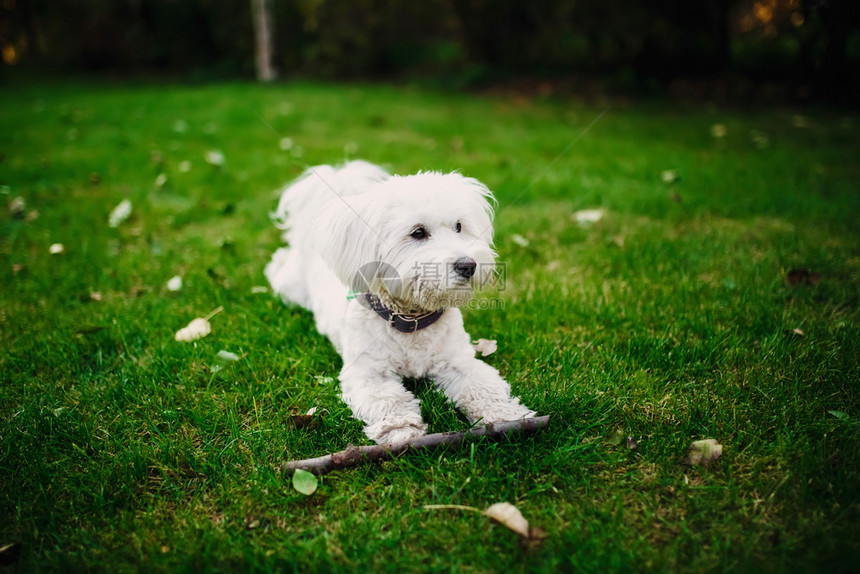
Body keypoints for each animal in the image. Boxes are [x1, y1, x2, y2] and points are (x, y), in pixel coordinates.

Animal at [266, 162, 536, 446]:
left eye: (459, 226)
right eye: (418, 232)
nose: (468, 265)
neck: (412, 320)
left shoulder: (458, 361)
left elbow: (483, 386)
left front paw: (507, 416)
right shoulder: (367, 373)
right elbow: (388, 399)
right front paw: (400, 428)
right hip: (290, 287)